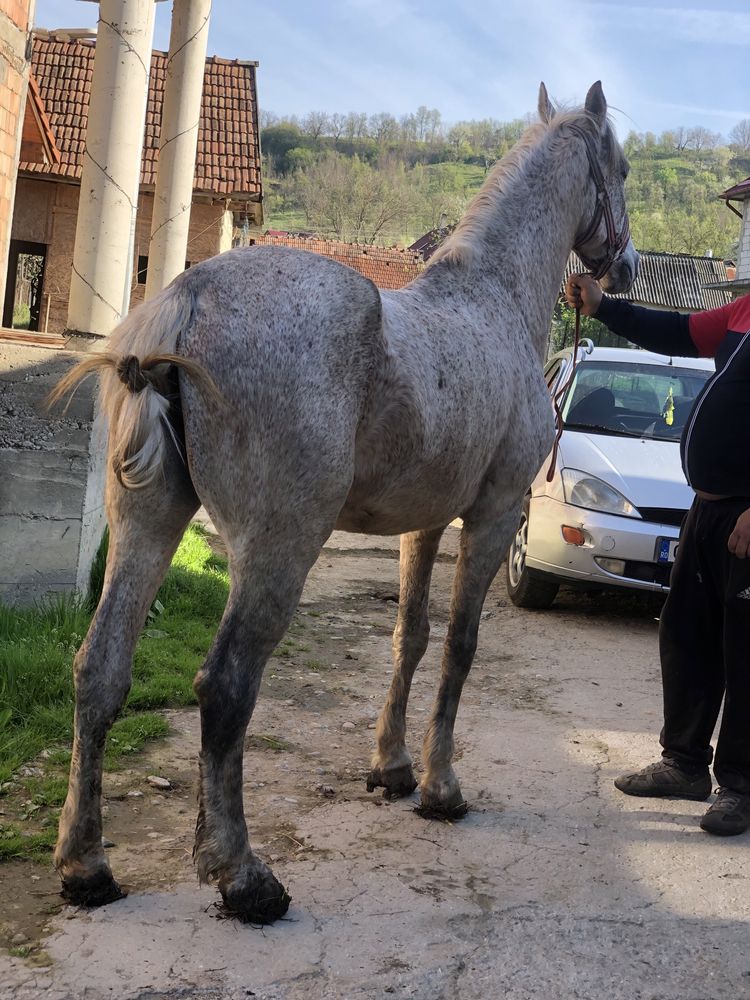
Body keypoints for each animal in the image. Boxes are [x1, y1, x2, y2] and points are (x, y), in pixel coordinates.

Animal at [53, 82, 640, 924]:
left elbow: (410, 638)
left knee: (99, 670)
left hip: (147, 526)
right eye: (620, 170)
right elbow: (461, 647)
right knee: (224, 687)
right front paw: (440, 788)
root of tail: (189, 300)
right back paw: (243, 876)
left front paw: (391, 767)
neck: (492, 298)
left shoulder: (424, 524)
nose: (625, 265)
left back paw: (87, 867)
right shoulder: (492, 517)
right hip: (279, 549)